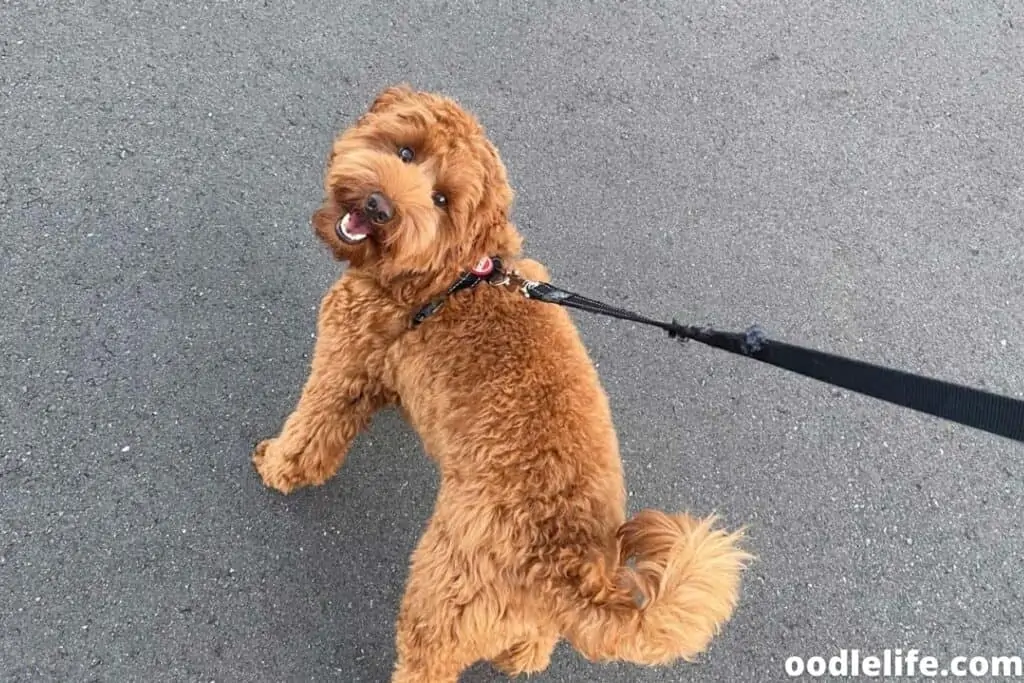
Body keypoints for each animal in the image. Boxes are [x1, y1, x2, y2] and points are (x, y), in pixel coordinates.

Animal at [253, 85, 753, 683]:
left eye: (442, 200)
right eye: (405, 152)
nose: (379, 207)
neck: (453, 274)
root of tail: (570, 566)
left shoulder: (344, 361)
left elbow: (311, 433)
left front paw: (276, 465)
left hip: (443, 596)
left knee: (428, 661)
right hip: (511, 615)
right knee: (534, 643)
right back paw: (519, 657)